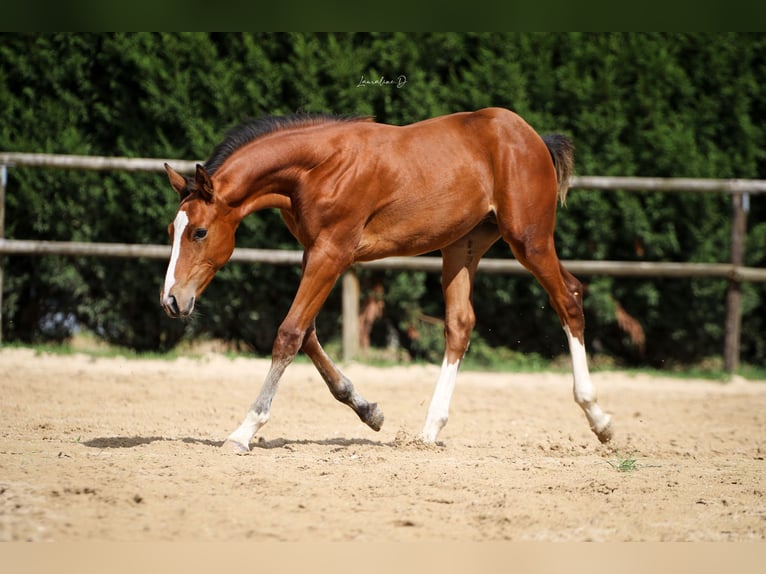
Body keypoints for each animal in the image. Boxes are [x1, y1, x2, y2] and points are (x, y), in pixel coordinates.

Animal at [159, 108, 616, 454]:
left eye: (199, 232)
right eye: (170, 230)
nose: (172, 301)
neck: (318, 167)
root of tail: (533, 137)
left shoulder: (332, 253)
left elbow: (289, 333)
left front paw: (244, 431)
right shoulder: (314, 252)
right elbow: (307, 333)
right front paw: (370, 412)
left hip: (529, 239)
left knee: (569, 298)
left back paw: (599, 418)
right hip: (463, 246)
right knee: (460, 325)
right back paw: (429, 430)